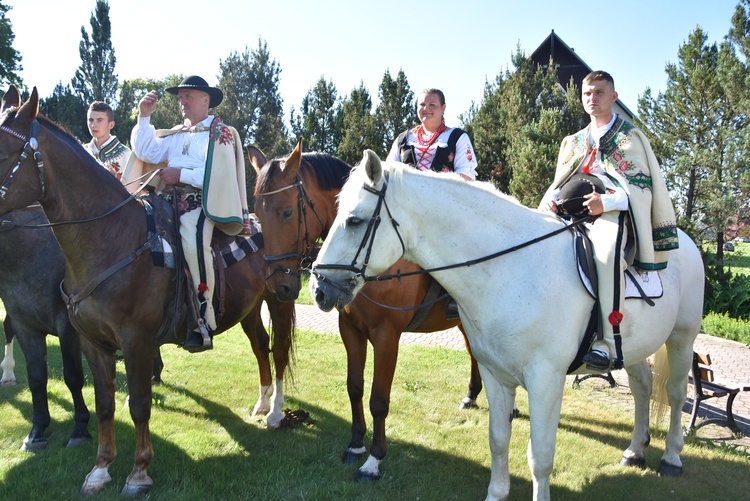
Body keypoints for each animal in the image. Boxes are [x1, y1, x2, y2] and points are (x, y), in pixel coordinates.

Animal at [0, 203, 91, 450]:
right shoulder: (24, 325)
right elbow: (37, 377)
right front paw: (37, 430)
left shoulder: (68, 326)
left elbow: (73, 376)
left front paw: (80, 429)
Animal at [250, 141, 484, 480]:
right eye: (256, 213)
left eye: (287, 212)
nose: (276, 286)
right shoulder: (351, 331)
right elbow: (355, 388)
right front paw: (356, 444)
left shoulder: (387, 336)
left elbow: (379, 399)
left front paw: (374, 459)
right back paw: (472, 395)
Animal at [310, 151, 704, 500]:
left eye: (354, 220)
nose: (318, 288)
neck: (512, 269)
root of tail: (683, 241)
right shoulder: (495, 374)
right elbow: (498, 440)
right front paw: (496, 493)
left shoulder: (545, 381)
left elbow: (540, 456)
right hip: (633, 348)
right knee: (642, 387)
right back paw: (635, 450)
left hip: (682, 339)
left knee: (675, 393)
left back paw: (671, 457)